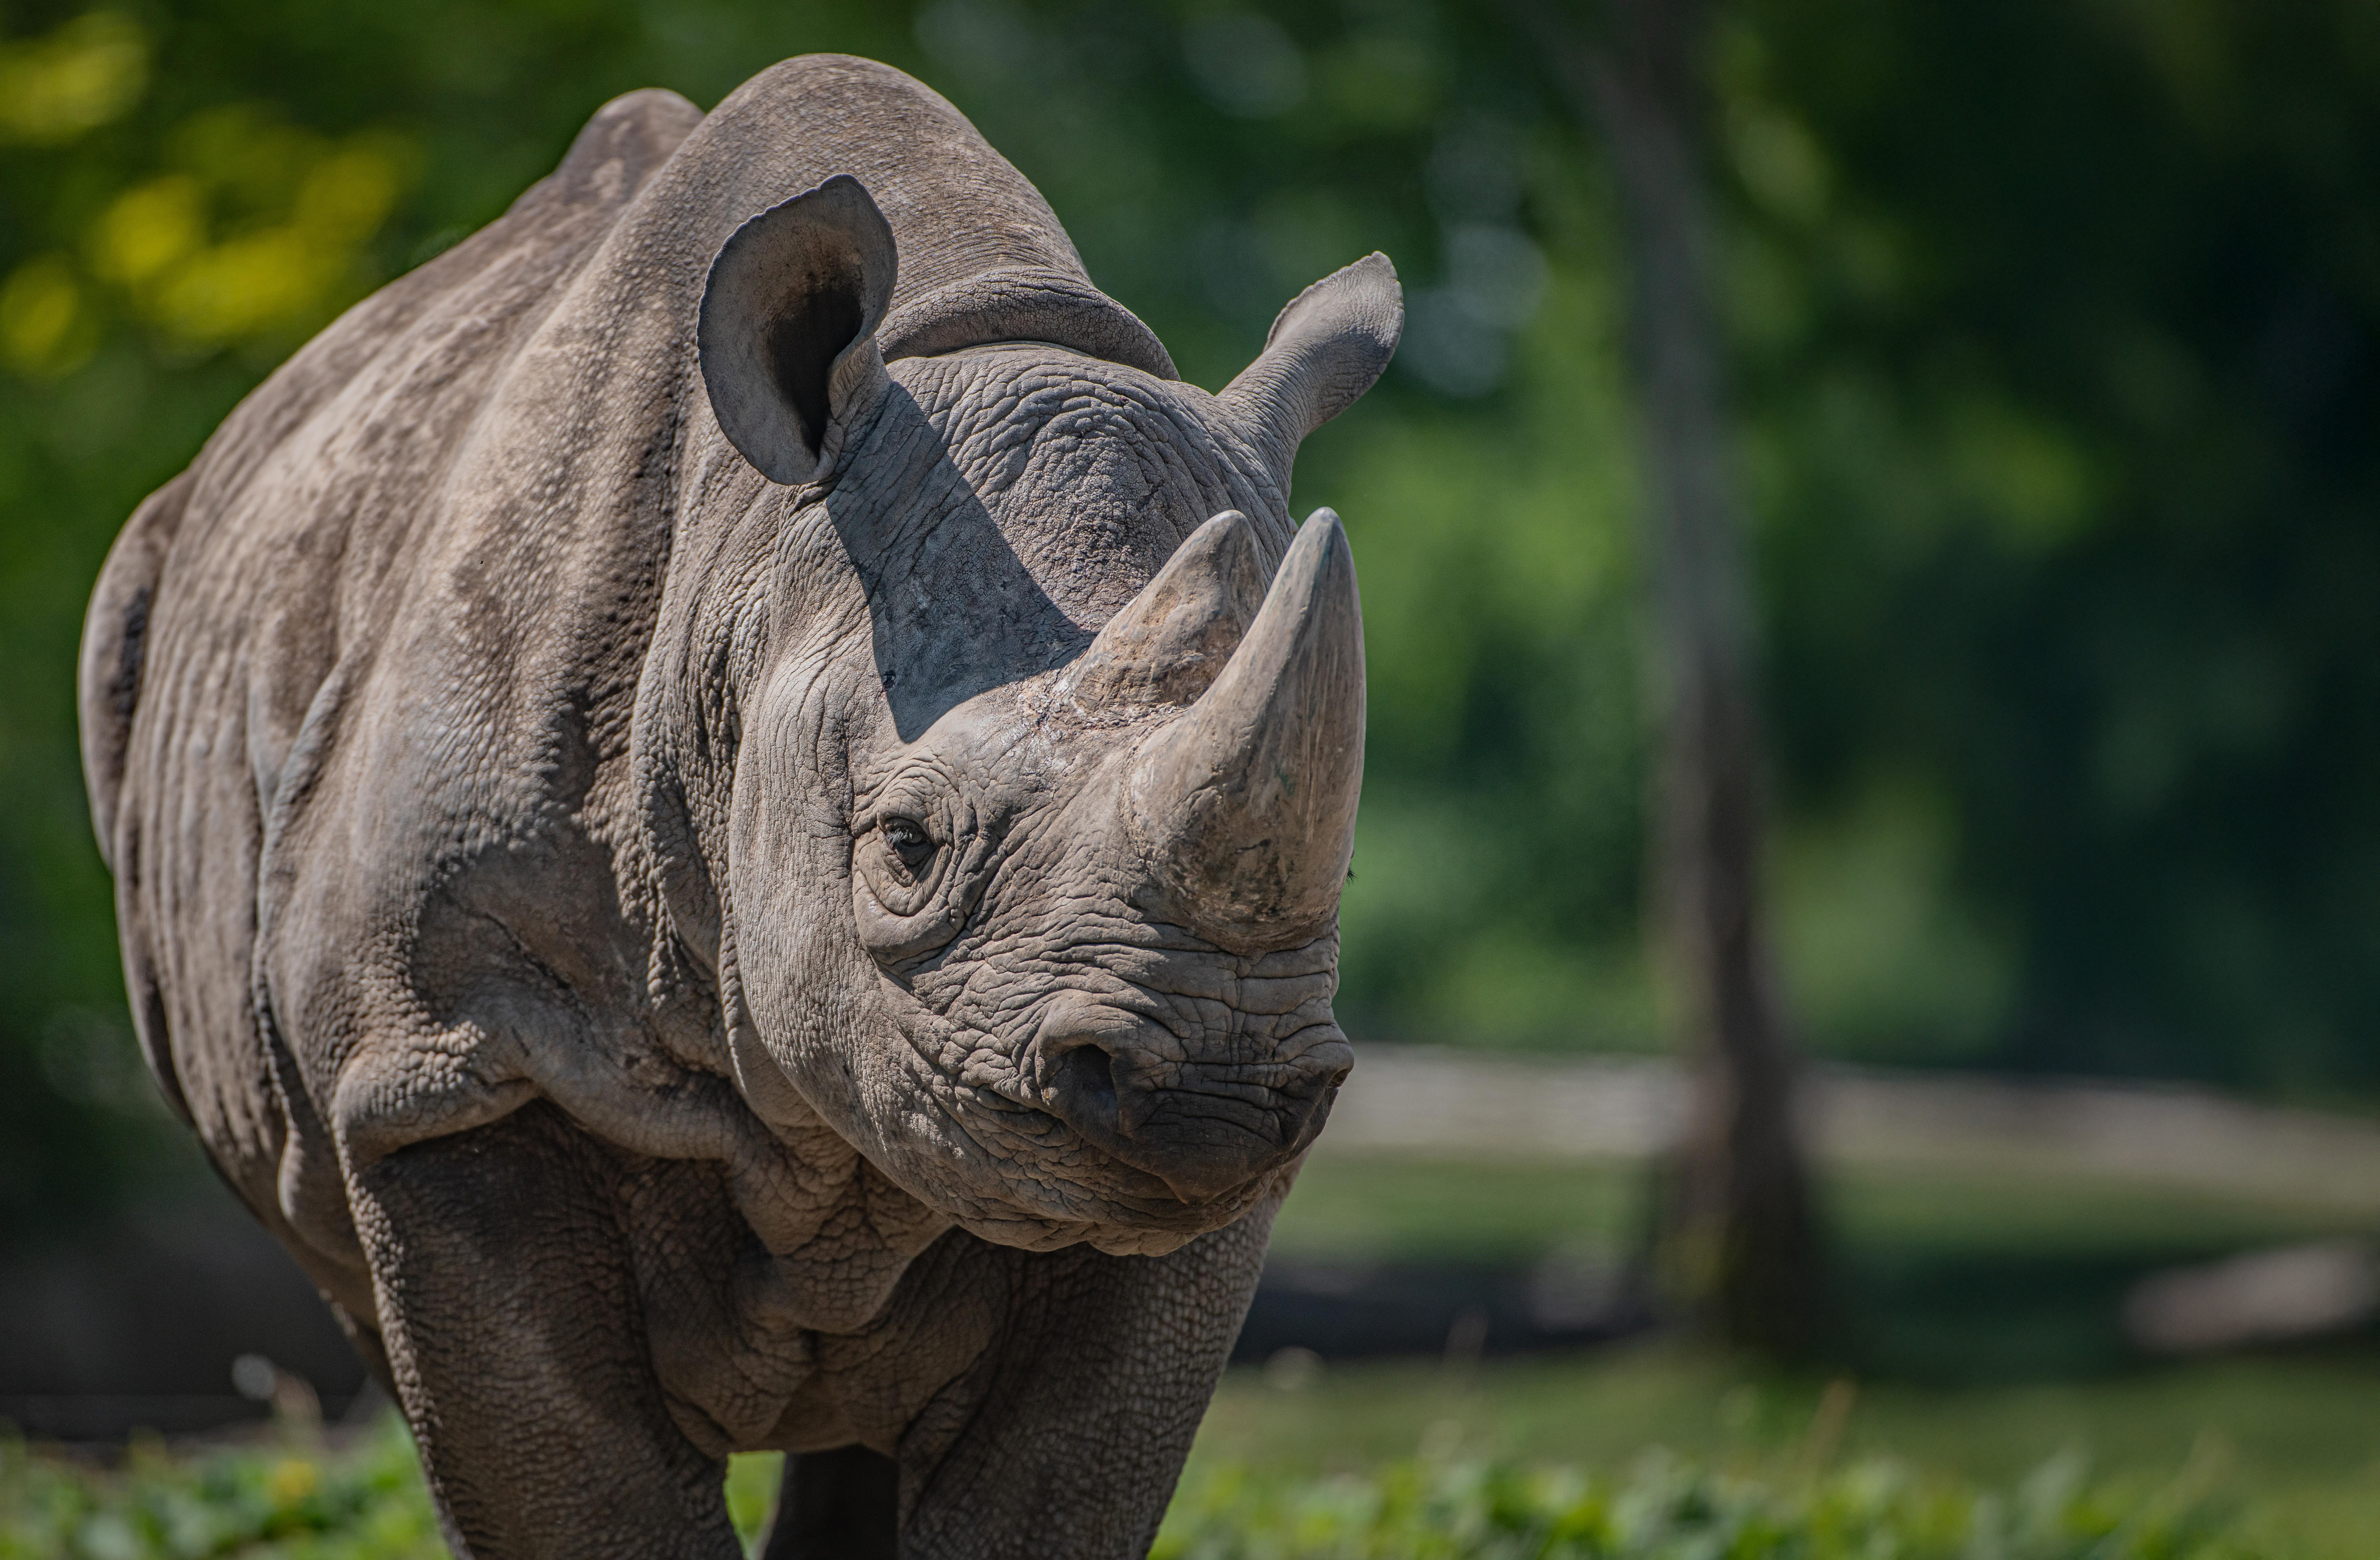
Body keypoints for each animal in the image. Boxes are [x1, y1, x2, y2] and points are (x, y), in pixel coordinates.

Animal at [77, 53, 1398, 1560]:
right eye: (906, 849)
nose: (1215, 1096)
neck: (753, 564)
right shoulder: (449, 1060)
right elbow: (575, 1486)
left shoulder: (1176, 1211)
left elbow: (1052, 1486)